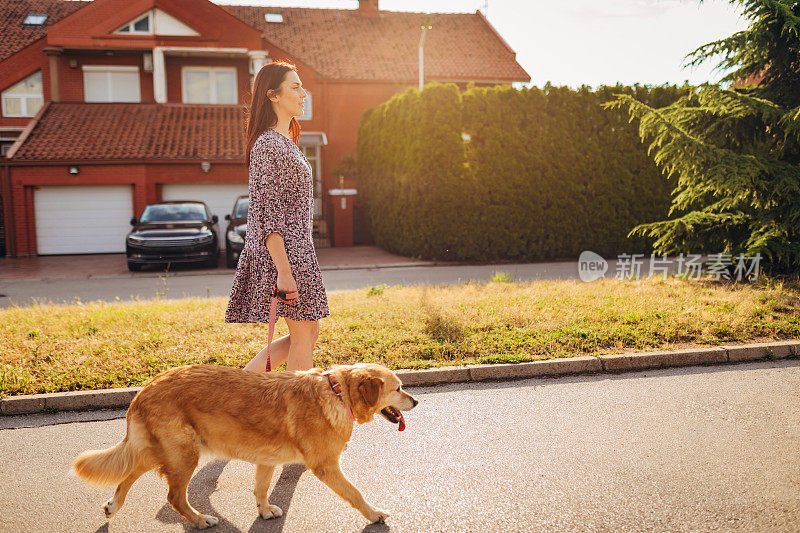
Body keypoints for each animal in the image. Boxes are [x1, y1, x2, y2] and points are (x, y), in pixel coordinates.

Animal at [73, 362, 418, 528]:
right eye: (399, 388)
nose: (416, 401)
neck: (337, 392)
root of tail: (145, 389)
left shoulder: (267, 460)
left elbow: (261, 488)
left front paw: (264, 511)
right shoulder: (326, 466)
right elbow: (356, 493)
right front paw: (374, 514)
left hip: (159, 451)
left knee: (128, 473)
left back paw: (113, 505)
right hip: (184, 455)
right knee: (174, 497)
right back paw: (201, 520)